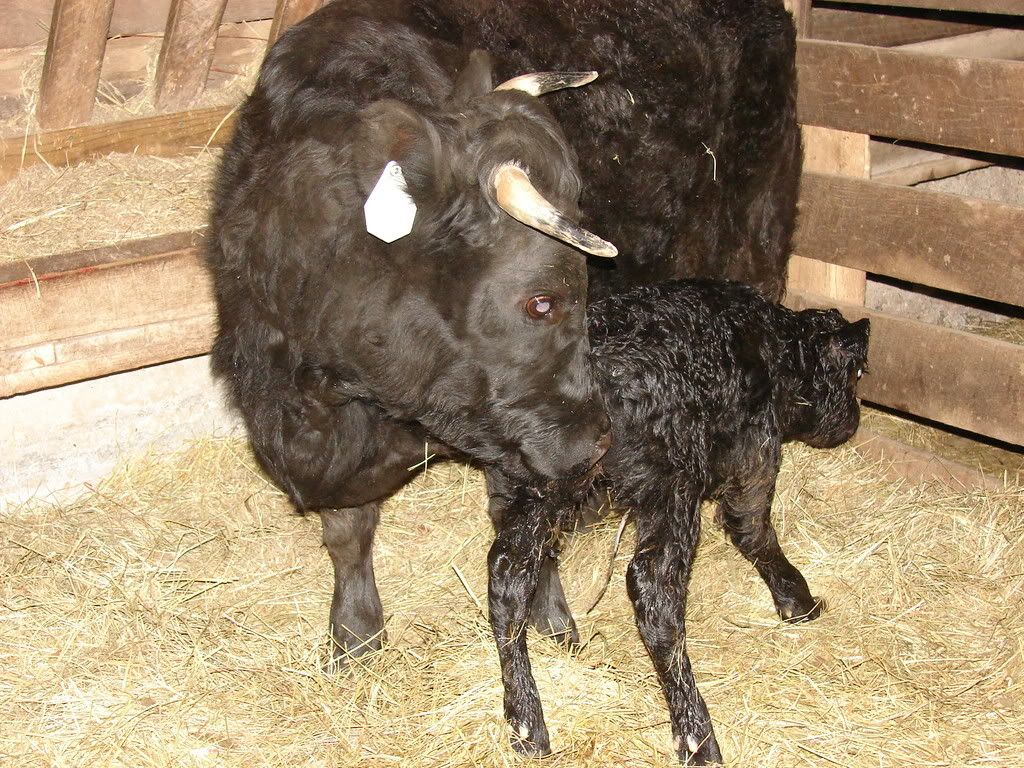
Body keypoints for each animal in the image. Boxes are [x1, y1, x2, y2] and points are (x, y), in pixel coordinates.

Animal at [498, 281, 869, 762]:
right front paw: (797, 601)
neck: (776, 346)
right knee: (654, 587)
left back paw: (527, 722)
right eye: (854, 373)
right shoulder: (755, 449)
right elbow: (751, 527)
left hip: (537, 484)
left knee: (508, 575)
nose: (853, 421)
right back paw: (697, 735)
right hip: (673, 476)